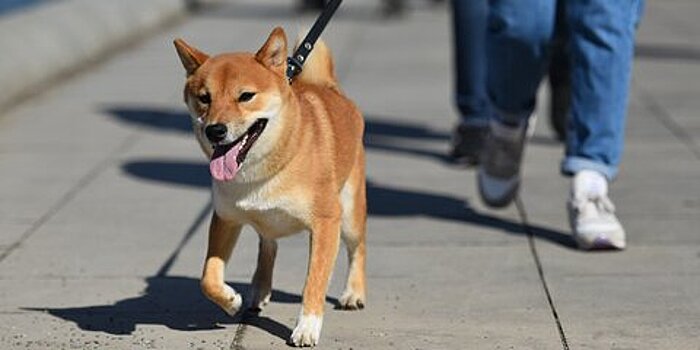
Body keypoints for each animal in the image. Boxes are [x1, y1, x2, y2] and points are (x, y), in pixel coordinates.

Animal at [174, 28, 366, 348]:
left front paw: (307, 327)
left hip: (349, 214)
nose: (215, 130)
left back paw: (354, 293)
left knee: (357, 249)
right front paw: (230, 300)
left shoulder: (326, 223)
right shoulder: (225, 218)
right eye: (204, 98)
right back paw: (258, 292)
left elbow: (314, 281)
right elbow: (208, 278)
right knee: (268, 247)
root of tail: (328, 87)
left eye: (245, 96)